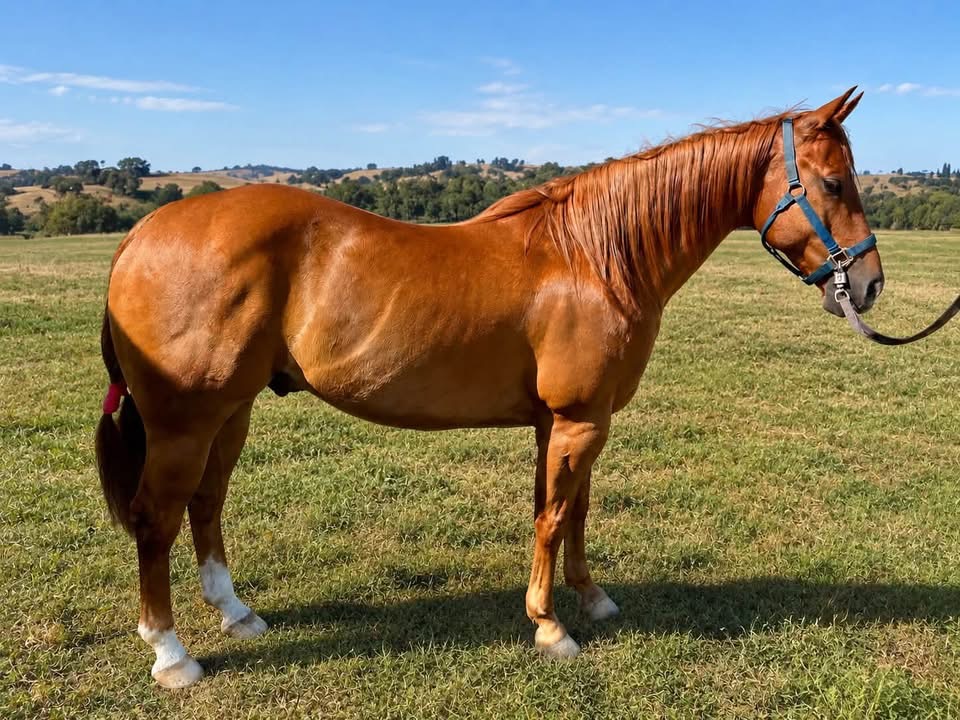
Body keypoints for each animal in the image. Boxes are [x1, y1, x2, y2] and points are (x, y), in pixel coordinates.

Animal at [95, 88, 883, 688]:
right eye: (833, 183)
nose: (869, 283)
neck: (593, 256)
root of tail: (144, 231)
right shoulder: (578, 420)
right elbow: (553, 518)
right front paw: (549, 628)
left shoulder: (565, 422)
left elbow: (571, 512)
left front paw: (589, 599)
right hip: (183, 424)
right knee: (156, 519)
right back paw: (172, 655)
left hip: (229, 414)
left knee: (206, 505)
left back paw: (237, 614)